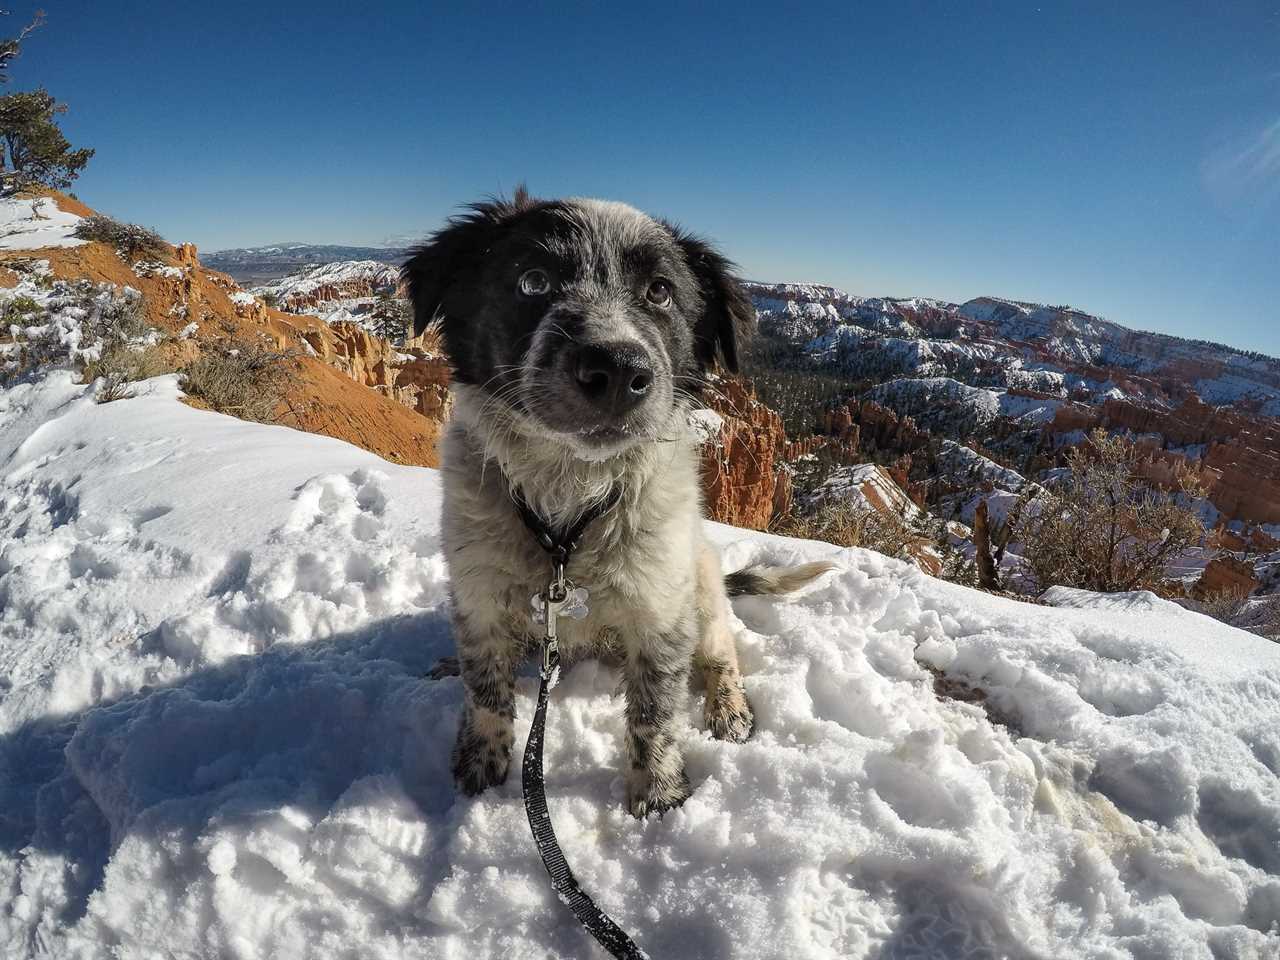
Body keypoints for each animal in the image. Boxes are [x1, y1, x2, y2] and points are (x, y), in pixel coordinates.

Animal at [404, 189, 834, 819]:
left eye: (660, 291)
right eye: (532, 280)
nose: (617, 371)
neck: (568, 505)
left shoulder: (660, 608)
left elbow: (655, 710)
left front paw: (657, 795)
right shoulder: (479, 593)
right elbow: (485, 686)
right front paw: (481, 761)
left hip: (700, 580)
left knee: (720, 652)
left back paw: (729, 708)